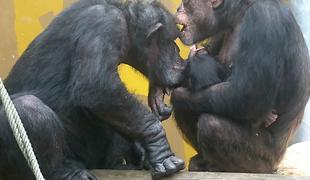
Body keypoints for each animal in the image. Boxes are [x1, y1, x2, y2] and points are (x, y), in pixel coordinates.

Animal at [0, 0, 186, 180]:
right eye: (172, 40)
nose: (178, 52)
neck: (125, 22)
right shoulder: (104, 23)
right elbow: (97, 85)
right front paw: (160, 148)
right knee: (29, 109)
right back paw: (66, 172)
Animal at [172, 0, 310, 173]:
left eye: (187, 3)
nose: (178, 8)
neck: (238, 15)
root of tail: (277, 163)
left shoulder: (264, 20)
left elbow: (246, 96)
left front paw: (178, 92)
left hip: (266, 157)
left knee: (212, 125)